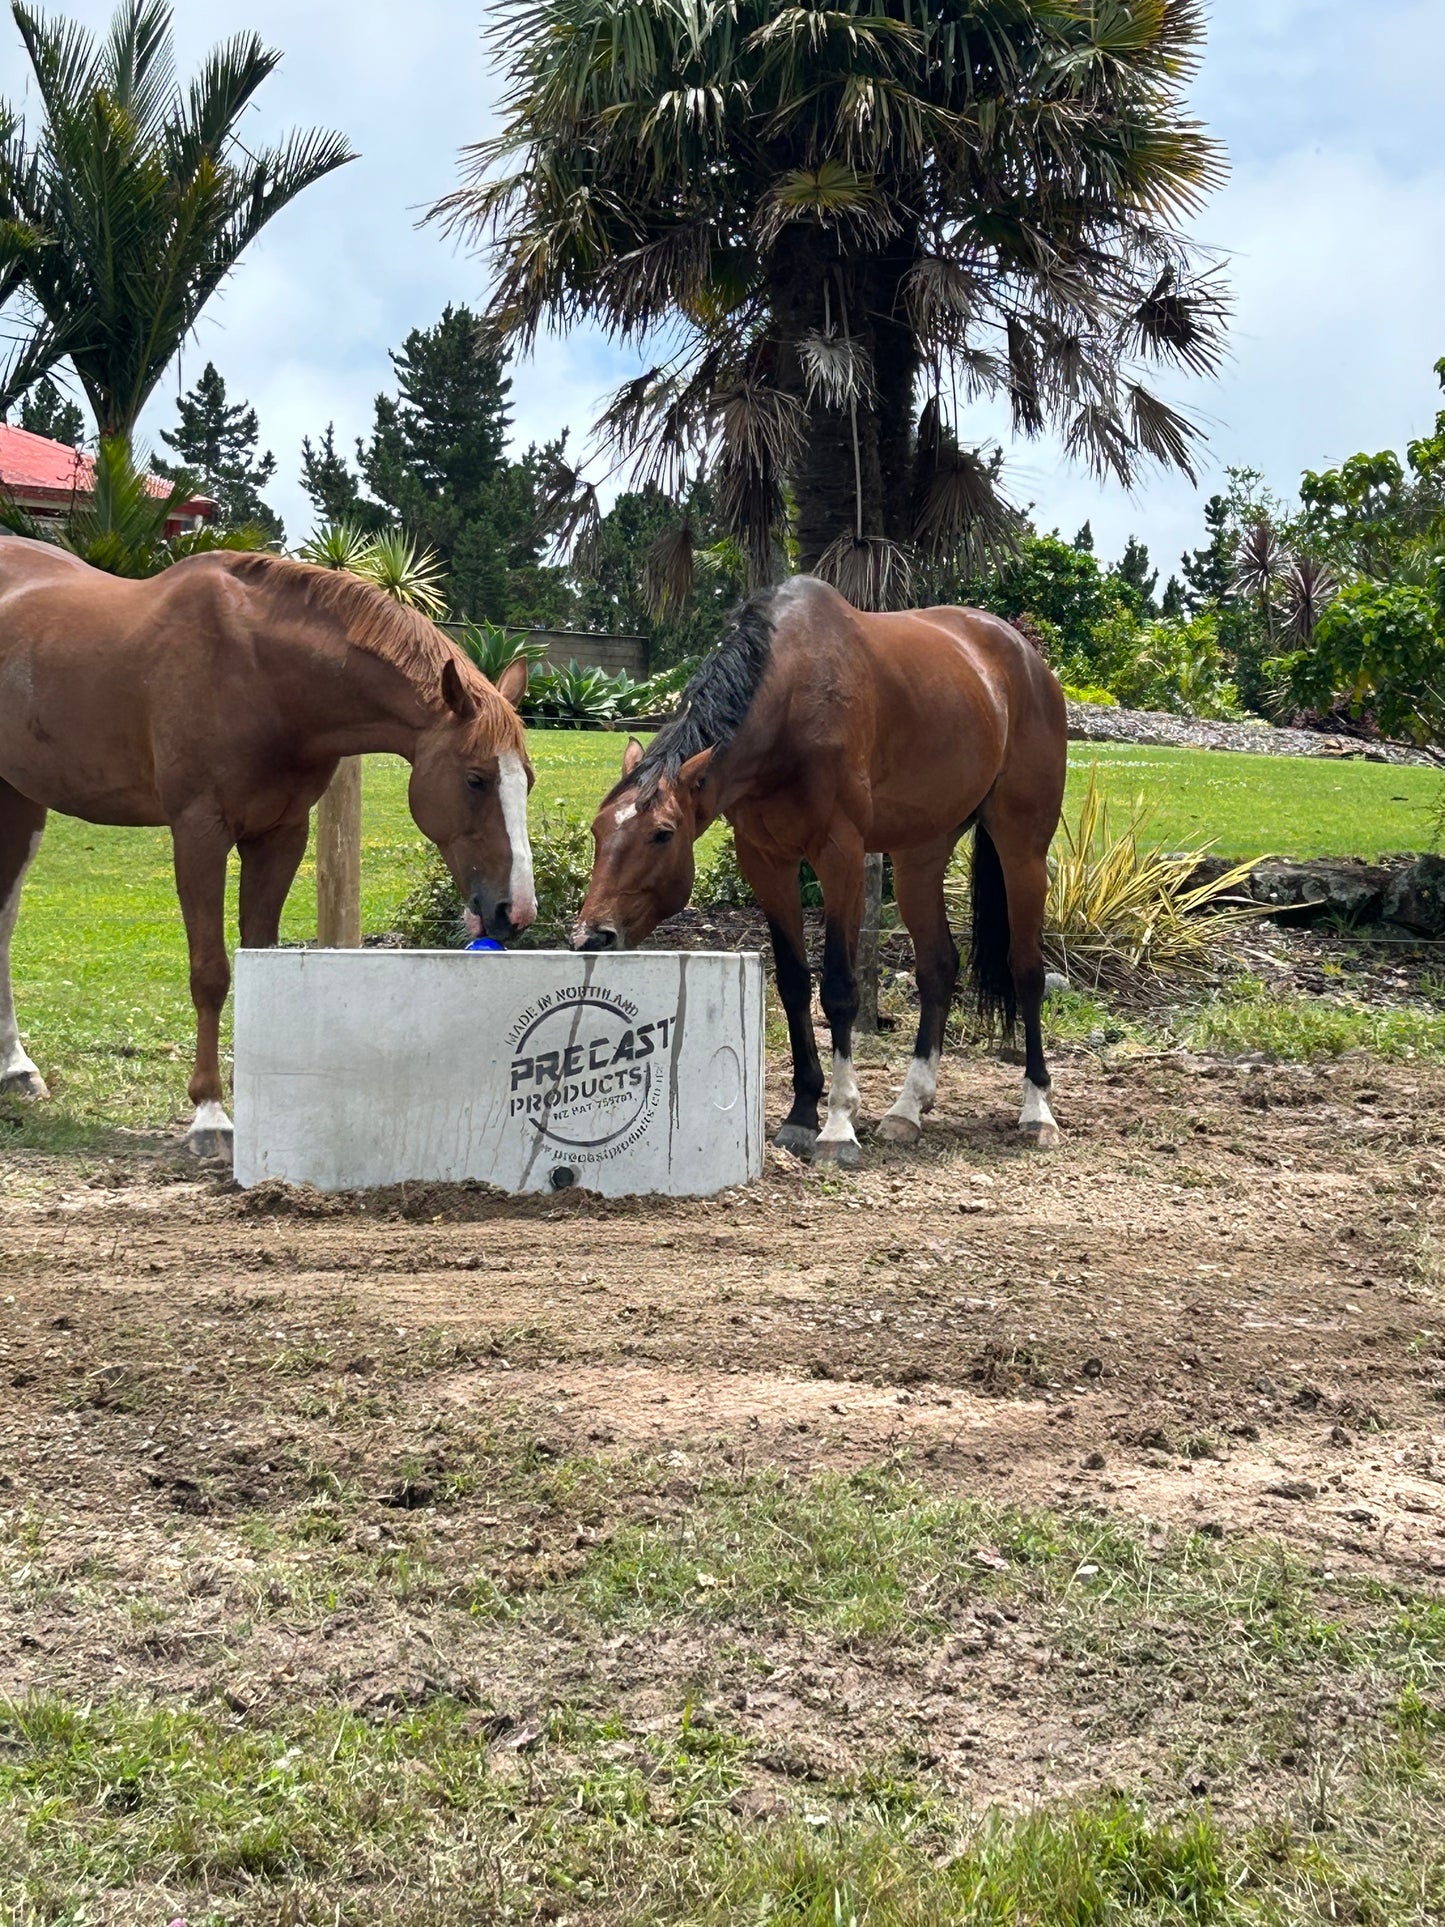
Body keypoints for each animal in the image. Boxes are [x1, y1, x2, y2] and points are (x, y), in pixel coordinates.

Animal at [0, 535, 539, 1148]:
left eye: (527, 780)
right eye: (476, 779)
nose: (516, 911)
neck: (261, 673)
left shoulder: (282, 835)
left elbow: (258, 954)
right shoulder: (200, 833)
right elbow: (211, 972)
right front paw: (210, 1113)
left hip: (21, 799)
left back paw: (16, 1069)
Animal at [574, 574, 1063, 1156]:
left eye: (662, 834)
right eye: (598, 829)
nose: (590, 936)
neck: (791, 696)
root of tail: (1027, 659)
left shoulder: (840, 856)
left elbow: (839, 989)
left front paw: (837, 1123)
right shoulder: (766, 861)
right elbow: (791, 982)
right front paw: (803, 1111)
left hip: (1022, 847)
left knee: (1026, 969)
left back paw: (1037, 1110)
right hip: (920, 854)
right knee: (939, 967)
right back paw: (907, 1109)